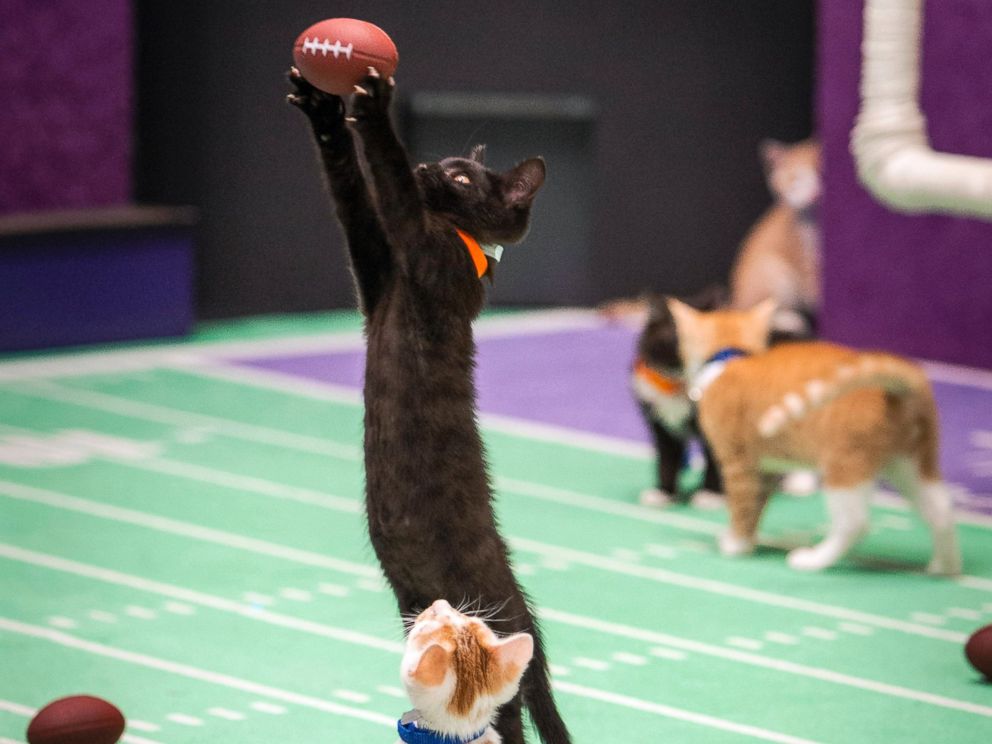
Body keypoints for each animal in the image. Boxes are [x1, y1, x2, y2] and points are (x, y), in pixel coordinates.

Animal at [668, 300, 960, 572]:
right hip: (909, 464)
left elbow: (741, 507)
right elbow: (756, 509)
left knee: (855, 524)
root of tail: (904, 382)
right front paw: (747, 541)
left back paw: (814, 559)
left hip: (843, 466)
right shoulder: (768, 468)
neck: (731, 357)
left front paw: (736, 545)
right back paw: (945, 567)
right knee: (942, 509)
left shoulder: (738, 464)